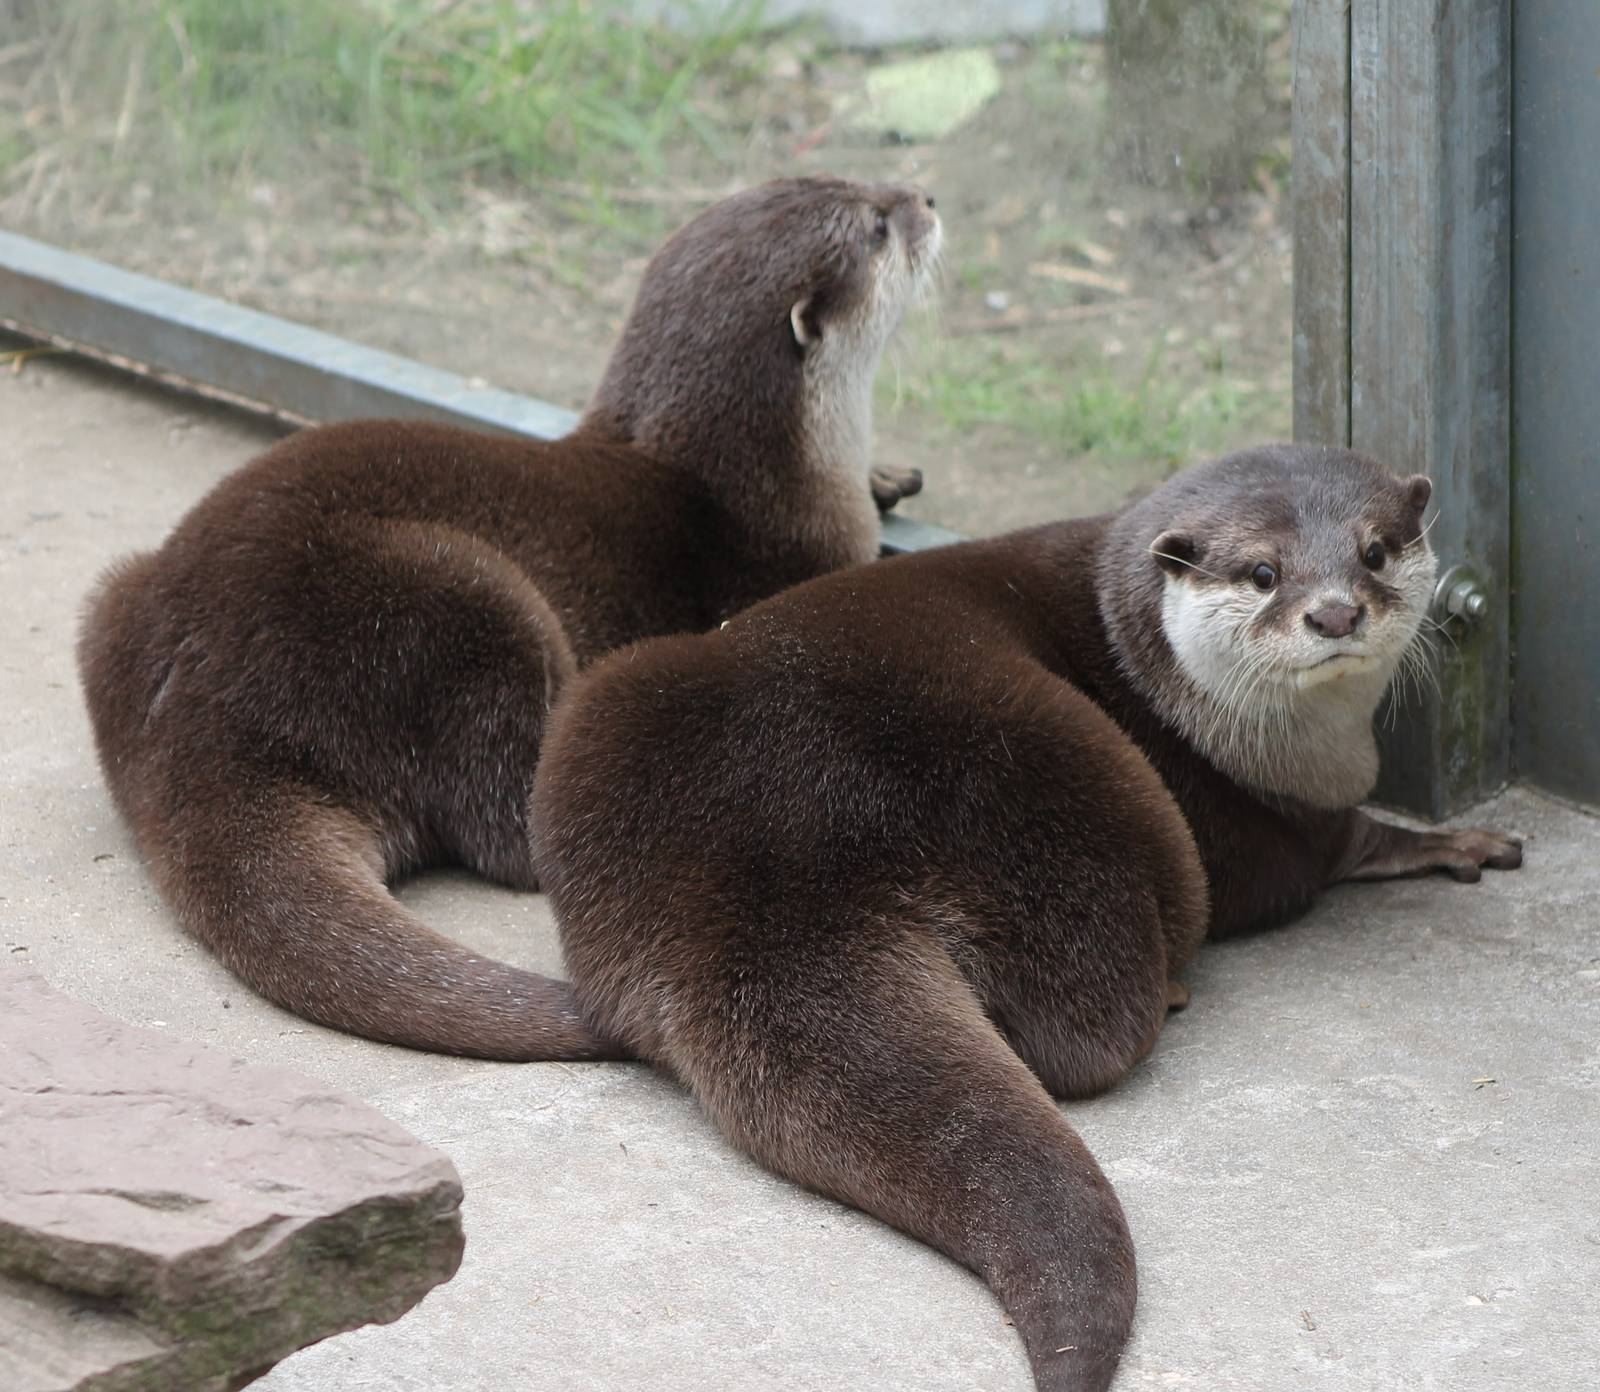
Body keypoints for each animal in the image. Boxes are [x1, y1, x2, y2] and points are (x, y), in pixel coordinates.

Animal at [77, 175, 941, 1061]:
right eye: (879, 226)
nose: (926, 196)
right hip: (464, 597)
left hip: (114, 598)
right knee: (506, 833)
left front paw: (887, 476)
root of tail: (195, 714)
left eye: (868, 191)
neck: (764, 476)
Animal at [529, 444, 1521, 1392]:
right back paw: (1166, 993)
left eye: (1375, 551)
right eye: (1263, 572)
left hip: (604, 716)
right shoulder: (1254, 826)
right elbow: (1334, 846)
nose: (1336, 614)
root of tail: (783, 844)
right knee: (1094, 1030)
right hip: (1089, 784)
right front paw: (1446, 841)